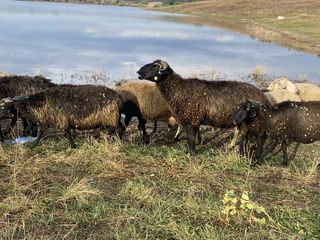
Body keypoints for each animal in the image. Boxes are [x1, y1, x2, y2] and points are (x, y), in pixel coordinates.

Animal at [136, 59, 268, 154]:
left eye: (154, 66)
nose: (138, 72)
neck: (178, 88)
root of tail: (263, 96)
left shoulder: (192, 120)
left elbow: (191, 138)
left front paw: (191, 153)